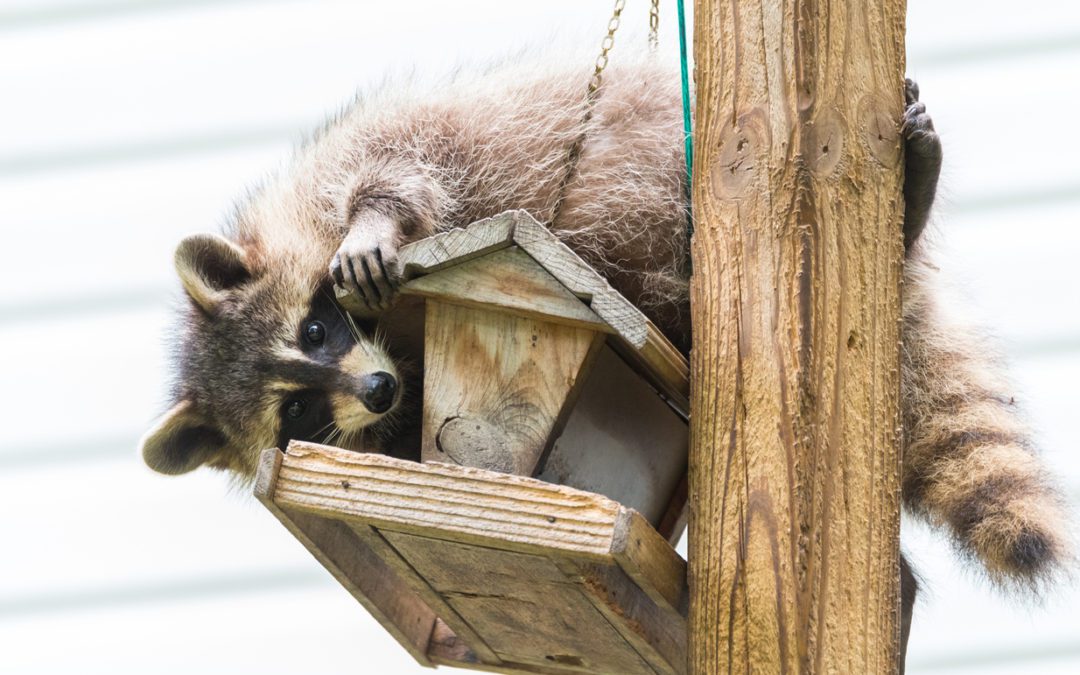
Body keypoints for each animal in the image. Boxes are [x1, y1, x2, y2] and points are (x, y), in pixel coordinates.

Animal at [139, 57, 1068, 661]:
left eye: (316, 330)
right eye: (293, 409)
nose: (373, 389)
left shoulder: (369, 154)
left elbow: (402, 162)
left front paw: (374, 221)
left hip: (673, 150)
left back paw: (911, 199)